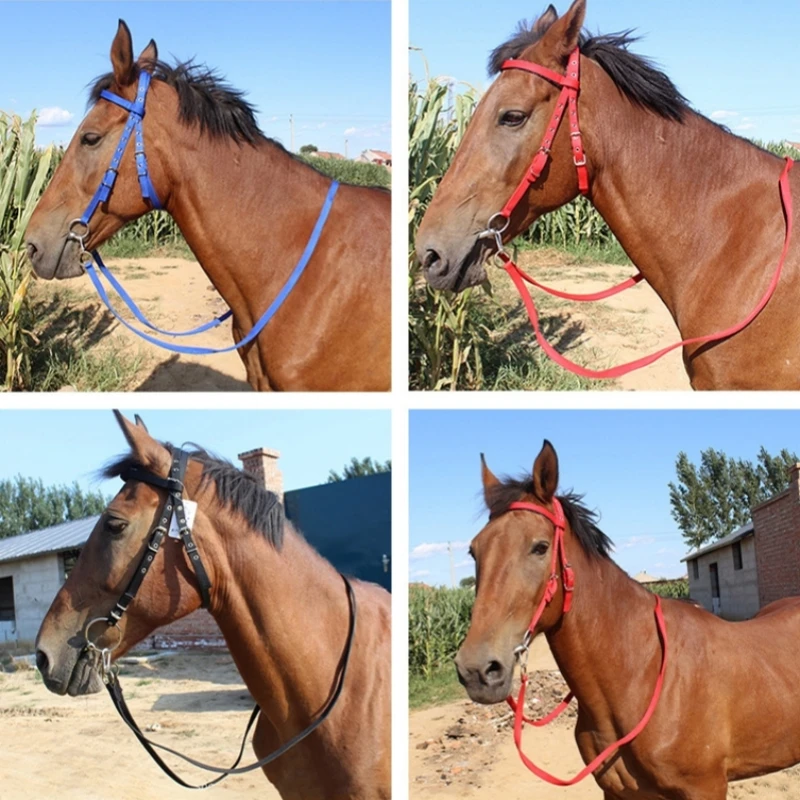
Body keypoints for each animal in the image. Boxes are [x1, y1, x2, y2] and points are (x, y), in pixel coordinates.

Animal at [455, 440, 800, 799]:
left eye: (540, 547)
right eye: (474, 550)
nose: (477, 670)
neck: (641, 676)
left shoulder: (705, 787)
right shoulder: (616, 791)